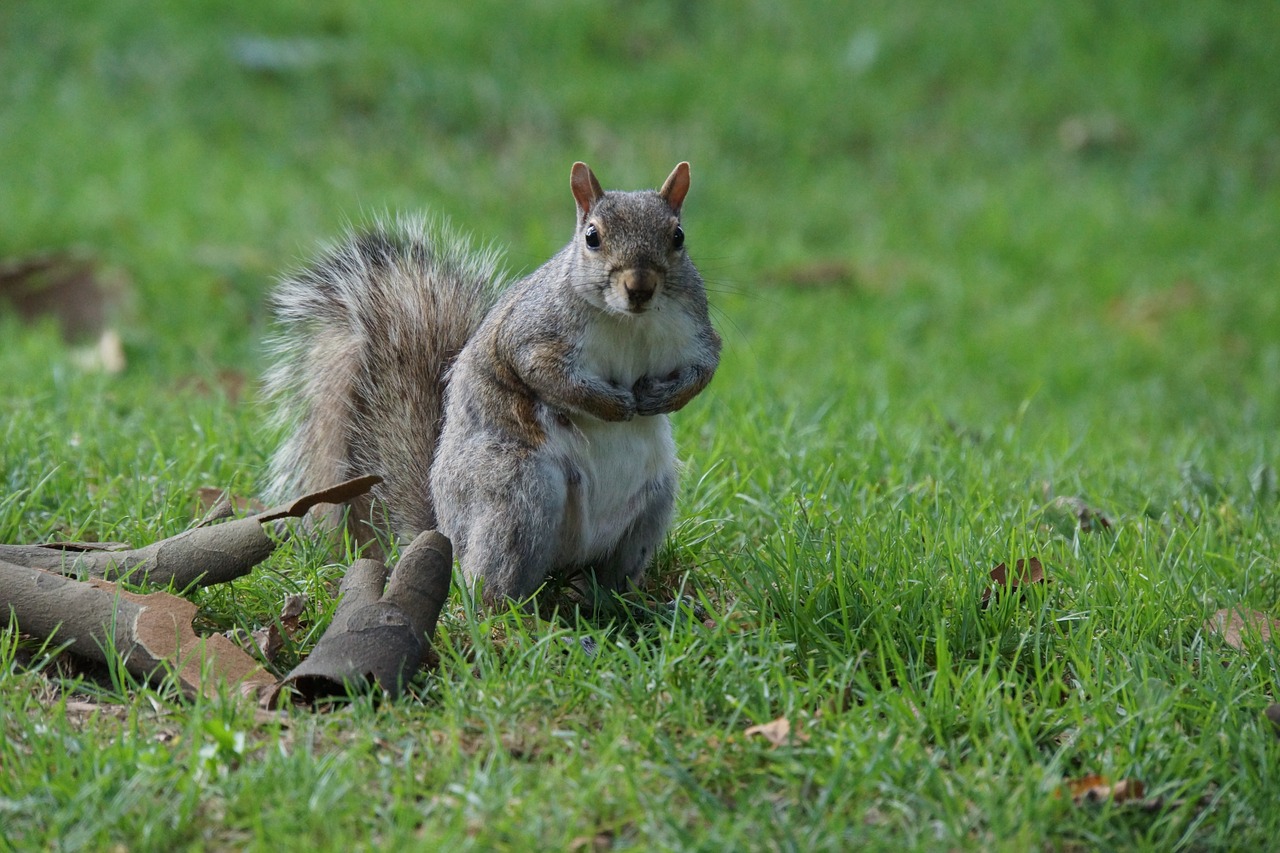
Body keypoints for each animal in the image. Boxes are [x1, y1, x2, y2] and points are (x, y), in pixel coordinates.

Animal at [262, 162, 721, 604]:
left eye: (678, 236)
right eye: (592, 237)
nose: (640, 287)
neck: (629, 321)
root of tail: (446, 531)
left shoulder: (697, 333)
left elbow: (704, 370)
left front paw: (661, 398)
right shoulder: (530, 335)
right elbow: (546, 375)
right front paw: (614, 404)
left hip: (650, 507)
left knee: (603, 580)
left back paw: (631, 605)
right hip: (517, 493)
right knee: (490, 589)